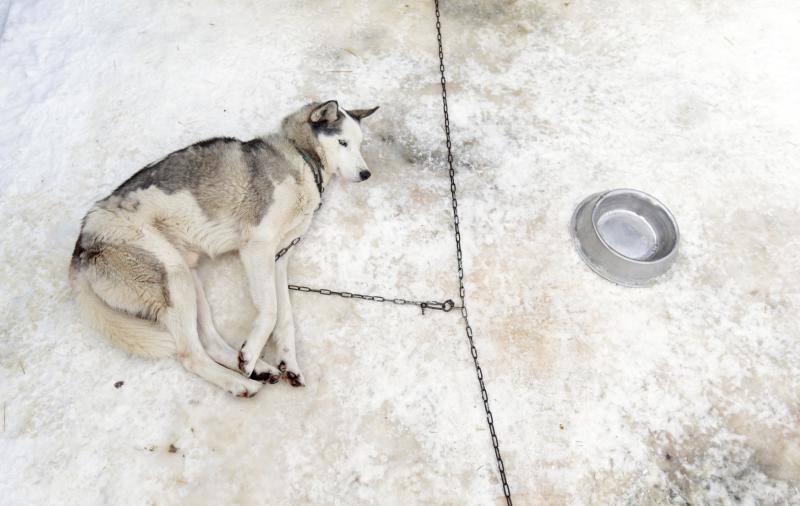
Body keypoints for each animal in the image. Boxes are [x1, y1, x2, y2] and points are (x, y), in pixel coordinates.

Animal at [69, 101, 378, 398]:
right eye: (342, 142)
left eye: (359, 143)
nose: (366, 174)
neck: (300, 157)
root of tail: (81, 242)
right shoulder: (257, 247)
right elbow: (270, 311)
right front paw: (251, 352)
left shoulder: (278, 260)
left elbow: (284, 317)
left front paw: (288, 363)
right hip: (172, 275)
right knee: (191, 355)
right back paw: (240, 383)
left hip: (188, 280)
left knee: (209, 342)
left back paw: (258, 370)